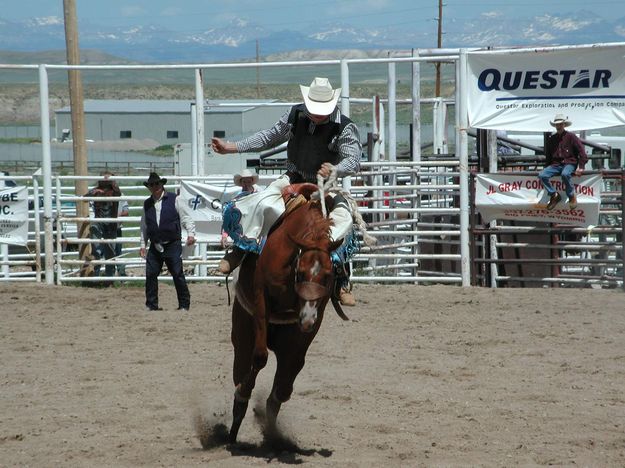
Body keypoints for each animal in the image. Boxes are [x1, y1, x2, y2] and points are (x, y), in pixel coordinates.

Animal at [229, 184, 346, 442]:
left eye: (327, 276)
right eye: (300, 273)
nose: (307, 320)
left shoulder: (313, 317)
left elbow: (284, 384)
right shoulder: (261, 299)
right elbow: (259, 357)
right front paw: (243, 392)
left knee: (285, 378)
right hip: (242, 334)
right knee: (242, 367)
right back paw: (233, 423)